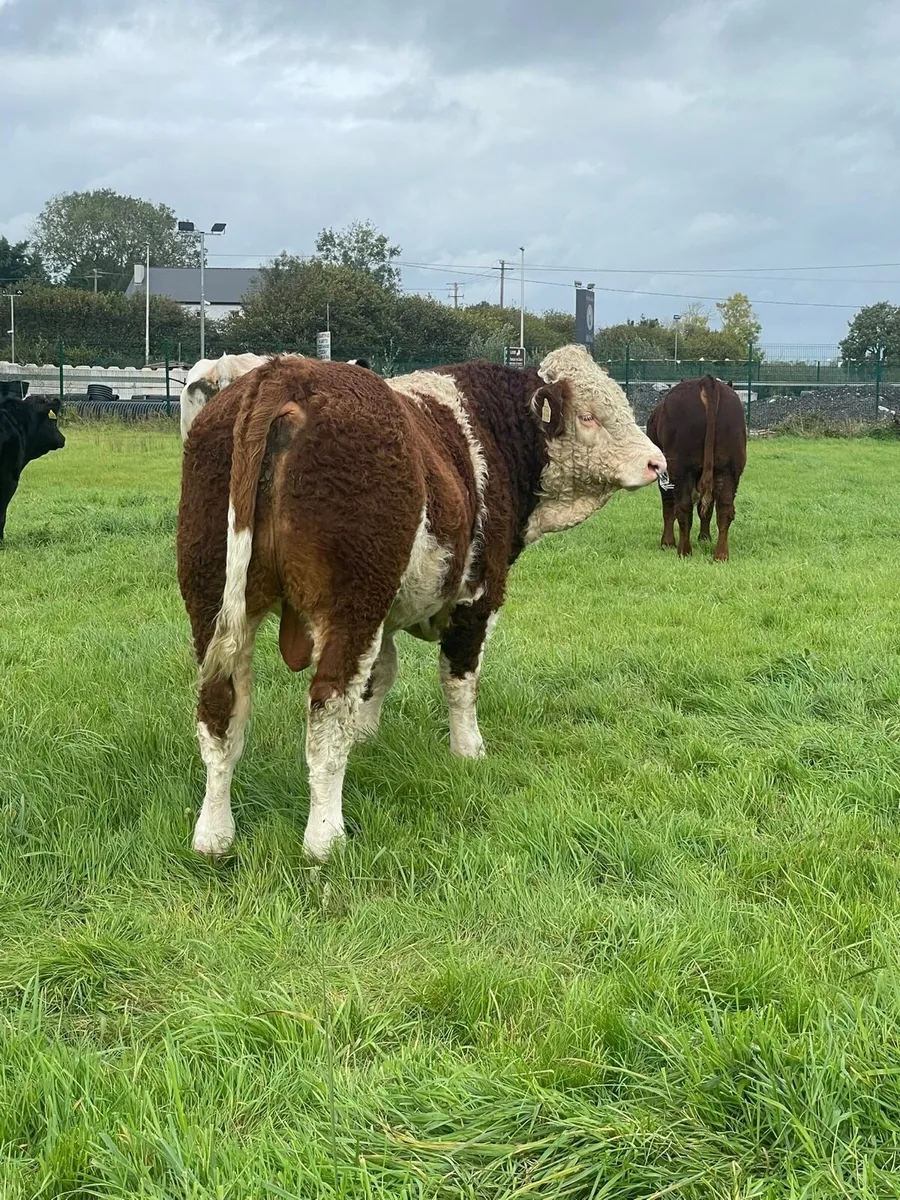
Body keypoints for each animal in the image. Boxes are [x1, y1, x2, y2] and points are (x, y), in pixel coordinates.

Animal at [646, 375, 747, 561]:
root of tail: (707, 381)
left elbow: (668, 506)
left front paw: (667, 542)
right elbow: (706, 508)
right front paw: (705, 538)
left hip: (680, 467)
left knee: (682, 507)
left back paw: (683, 551)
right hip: (729, 468)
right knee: (725, 508)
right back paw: (720, 555)